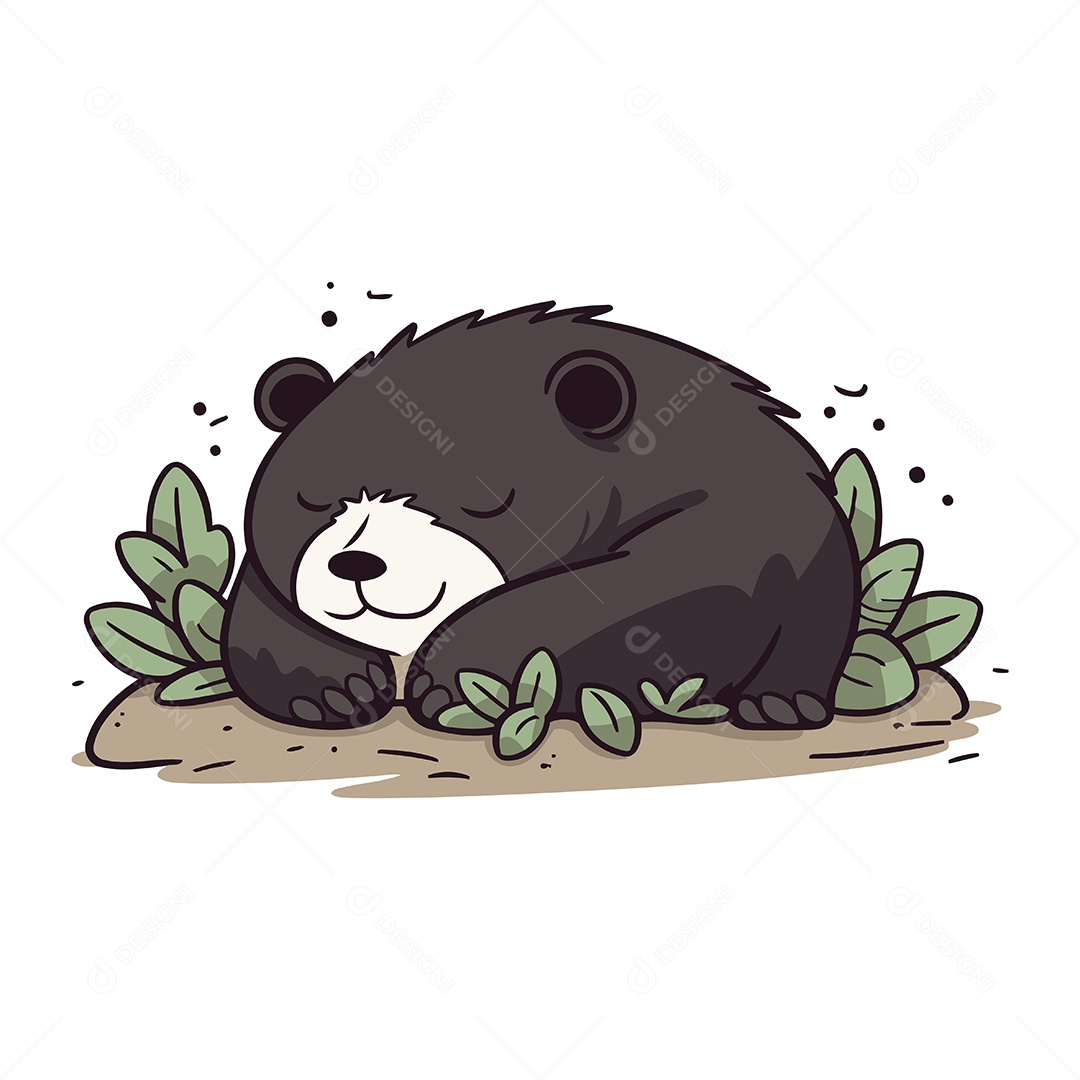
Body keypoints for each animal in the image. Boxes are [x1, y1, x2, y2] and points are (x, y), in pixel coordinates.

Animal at [222, 302, 860, 736]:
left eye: (482, 500)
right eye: (313, 499)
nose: (356, 563)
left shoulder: (734, 508)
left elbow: (640, 592)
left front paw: (452, 681)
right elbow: (269, 602)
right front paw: (337, 688)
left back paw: (780, 704)